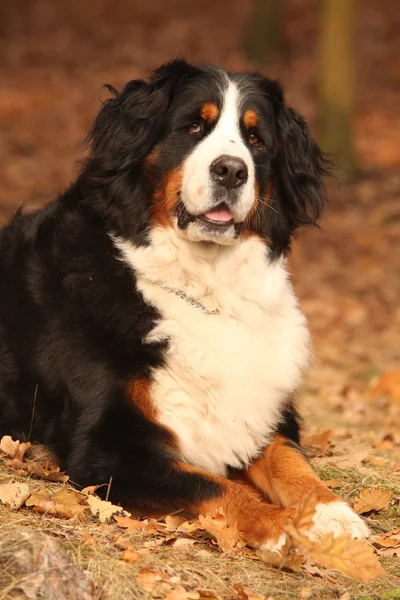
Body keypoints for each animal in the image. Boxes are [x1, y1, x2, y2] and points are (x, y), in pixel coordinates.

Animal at [0, 58, 368, 552]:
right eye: (193, 126)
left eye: (256, 139)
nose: (231, 170)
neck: (205, 286)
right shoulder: (109, 448)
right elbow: (216, 487)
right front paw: (285, 528)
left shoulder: (261, 414)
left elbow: (289, 459)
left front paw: (334, 515)